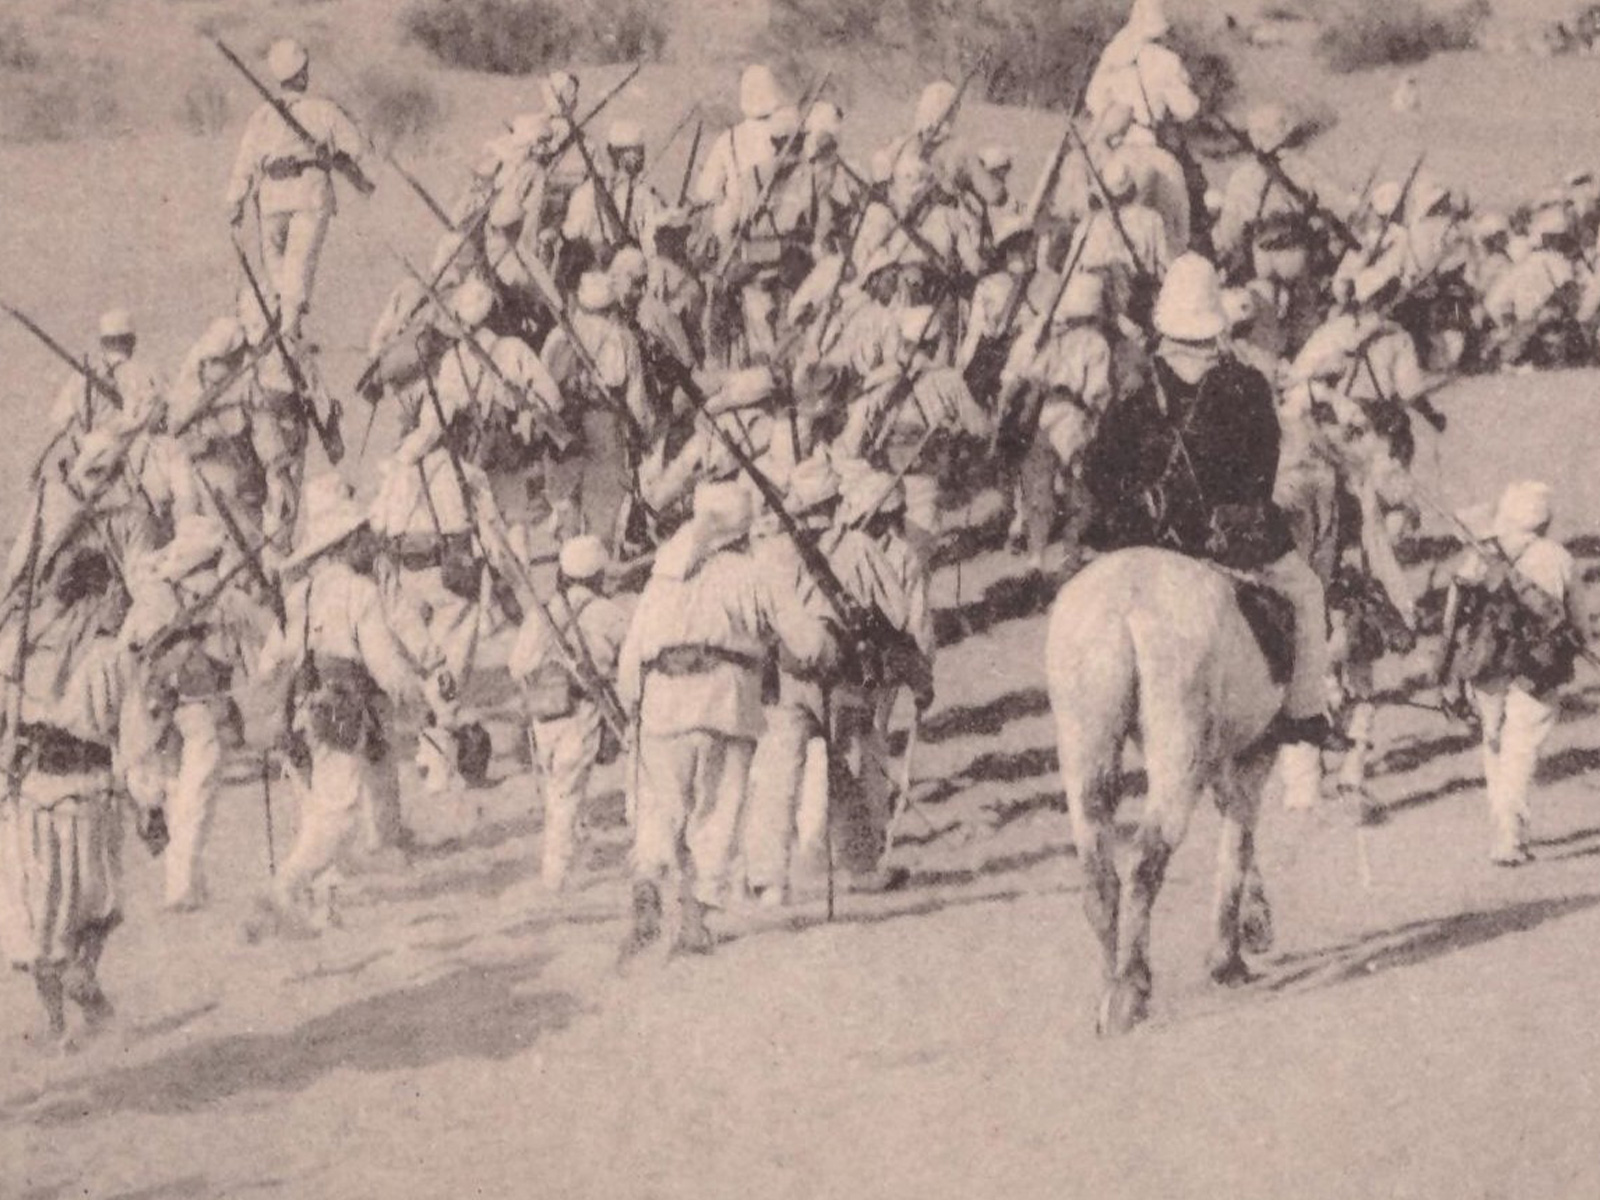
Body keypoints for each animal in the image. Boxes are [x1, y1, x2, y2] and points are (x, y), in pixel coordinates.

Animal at [1043, 550, 1280, 1036]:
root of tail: (1121, 609)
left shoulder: (1221, 760)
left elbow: (1236, 831)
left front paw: (1252, 928)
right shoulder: (1252, 754)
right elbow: (1238, 841)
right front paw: (1228, 958)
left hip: (1085, 747)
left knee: (1099, 876)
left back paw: (1109, 992)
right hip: (1178, 752)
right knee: (1145, 859)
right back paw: (1132, 990)